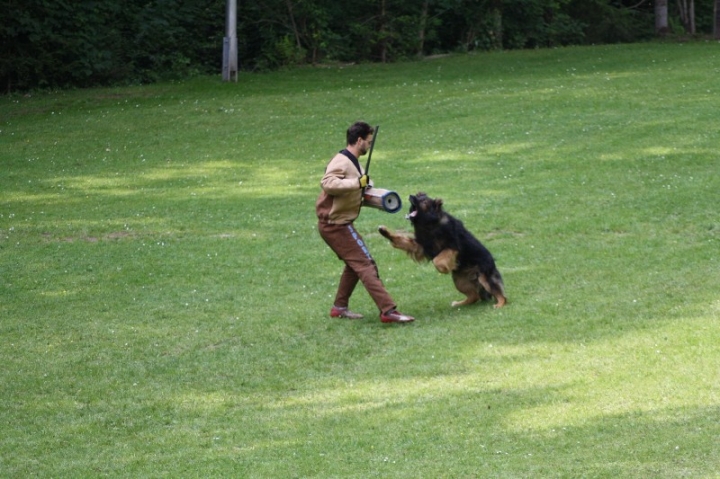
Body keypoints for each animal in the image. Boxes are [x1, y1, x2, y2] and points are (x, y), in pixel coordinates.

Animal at [376, 193, 506, 310]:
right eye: (417, 196)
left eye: (424, 201)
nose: (410, 196)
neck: (429, 223)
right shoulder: (419, 245)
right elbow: (400, 239)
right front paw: (384, 231)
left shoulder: (452, 246)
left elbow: (437, 259)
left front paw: (442, 268)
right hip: (460, 281)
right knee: (474, 296)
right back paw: (459, 304)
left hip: (484, 277)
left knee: (501, 295)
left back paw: (499, 304)